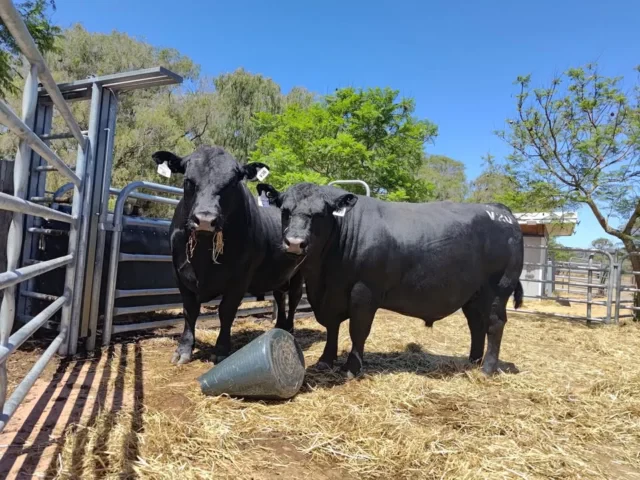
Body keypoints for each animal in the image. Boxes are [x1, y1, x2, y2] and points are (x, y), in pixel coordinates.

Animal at [152, 146, 305, 365]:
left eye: (232, 183)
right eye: (188, 180)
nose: (205, 219)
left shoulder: (240, 279)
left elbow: (226, 311)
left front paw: (221, 349)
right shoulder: (180, 274)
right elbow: (189, 311)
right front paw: (183, 350)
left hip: (301, 271)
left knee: (294, 298)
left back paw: (289, 328)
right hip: (280, 274)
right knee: (279, 295)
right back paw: (280, 326)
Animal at [257, 182, 524, 378]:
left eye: (320, 214)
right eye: (284, 211)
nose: (295, 242)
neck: (323, 275)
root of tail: (500, 211)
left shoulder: (364, 292)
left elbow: (358, 330)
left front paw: (351, 368)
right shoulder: (328, 295)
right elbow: (332, 327)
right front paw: (325, 360)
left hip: (498, 289)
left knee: (494, 325)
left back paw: (487, 369)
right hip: (473, 295)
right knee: (476, 325)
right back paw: (472, 361)